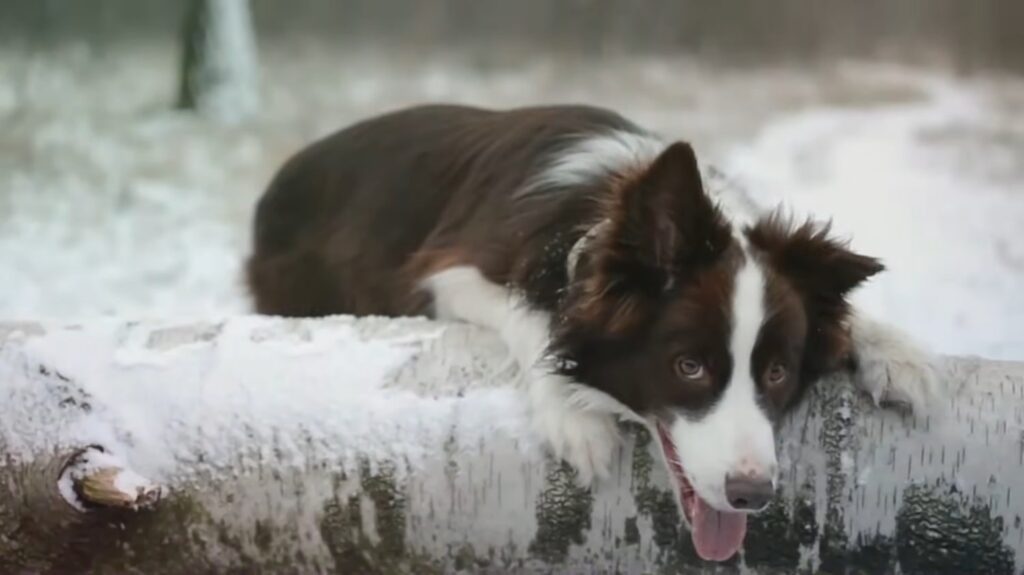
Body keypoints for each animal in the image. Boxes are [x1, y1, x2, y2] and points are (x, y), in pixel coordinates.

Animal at [247, 102, 942, 560]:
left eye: (777, 372)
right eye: (689, 366)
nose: (752, 494)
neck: (608, 210)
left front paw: (897, 352)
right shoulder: (447, 271)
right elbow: (531, 317)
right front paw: (574, 415)